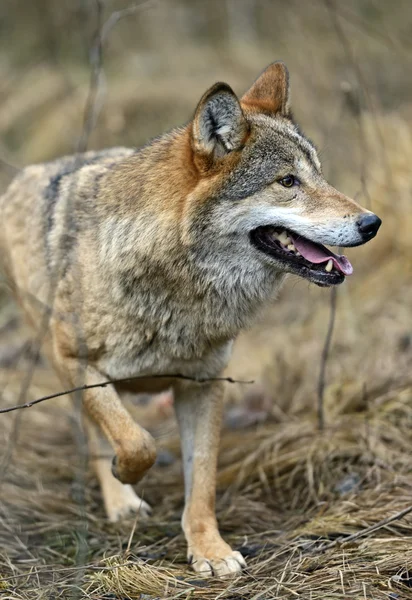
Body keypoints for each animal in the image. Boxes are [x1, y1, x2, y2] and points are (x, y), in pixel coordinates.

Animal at [0, 62, 380, 576]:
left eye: (318, 174)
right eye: (287, 182)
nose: (372, 223)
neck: (177, 294)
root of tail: (33, 171)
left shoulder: (205, 383)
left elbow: (201, 480)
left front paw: (209, 551)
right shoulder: (74, 361)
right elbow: (136, 442)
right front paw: (125, 475)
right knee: (96, 434)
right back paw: (121, 501)